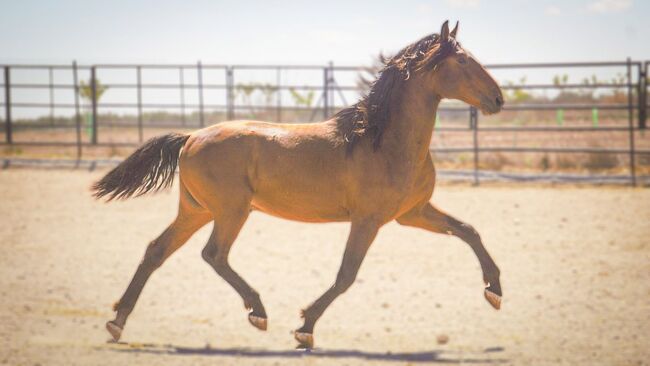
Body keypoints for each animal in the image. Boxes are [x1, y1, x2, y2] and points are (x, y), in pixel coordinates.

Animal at [93, 20, 504, 348]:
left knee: (156, 251)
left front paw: (495, 291)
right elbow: (346, 275)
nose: (498, 98)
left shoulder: (413, 213)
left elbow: (468, 231)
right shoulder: (368, 221)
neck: (383, 141)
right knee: (214, 254)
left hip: (196, 210)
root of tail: (191, 137)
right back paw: (258, 312)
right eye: (462, 61)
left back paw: (117, 322)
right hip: (231, 211)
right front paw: (305, 328)